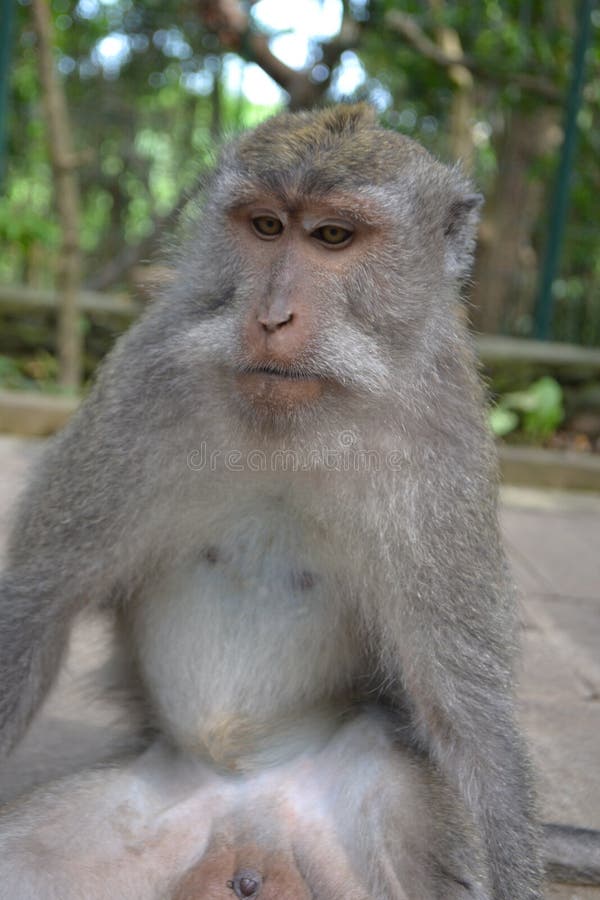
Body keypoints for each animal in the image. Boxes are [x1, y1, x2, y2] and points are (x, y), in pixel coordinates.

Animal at [0, 107, 596, 900]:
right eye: (265, 226)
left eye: (333, 237)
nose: (272, 317)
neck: (296, 425)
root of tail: (241, 810)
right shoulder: (140, 384)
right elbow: (40, 603)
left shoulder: (445, 453)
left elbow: (469, 716)